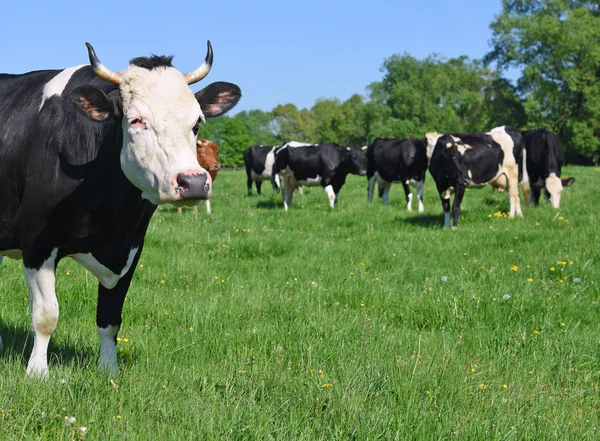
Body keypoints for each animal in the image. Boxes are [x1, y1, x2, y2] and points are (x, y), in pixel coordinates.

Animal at [0, 42, 239, 374]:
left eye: (197, 122)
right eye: (136, 120)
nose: (192, 181)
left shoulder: (131, 248)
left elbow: (110, 318)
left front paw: (109, 370)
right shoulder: (36, 241)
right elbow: (46, 315)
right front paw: (37, 372)